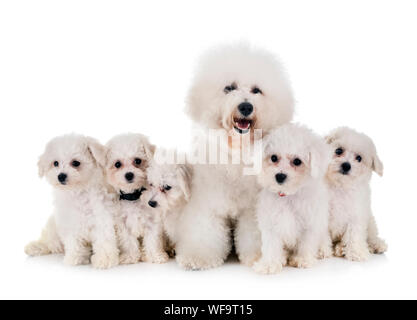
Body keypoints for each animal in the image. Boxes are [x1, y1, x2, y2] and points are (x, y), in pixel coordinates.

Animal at [24, 134, 118, 268]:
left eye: (75, 163)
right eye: (55, 163)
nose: (61, 176)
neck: (78, 192)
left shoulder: (102, 218)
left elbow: (103, 240)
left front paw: (104, 260)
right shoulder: (70, 222)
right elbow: (73, 241)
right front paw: (75, 258)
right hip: (53, 225)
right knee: (50, 241)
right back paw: (36, 247)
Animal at [102, 134, 167, 264]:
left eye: (137, 161)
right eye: (117, 164)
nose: (129, 175)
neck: (133, 196)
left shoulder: (153, 221)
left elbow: (152, 240)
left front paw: (155, 256)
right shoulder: (123, 223)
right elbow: (128, 241)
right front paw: (130, 256)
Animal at [174, 44, 294, 270]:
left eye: (256, 90)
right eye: (229, 88)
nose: (246, 107)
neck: (236, 153)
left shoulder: (253, 207)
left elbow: (254, 234)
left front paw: (258, 256)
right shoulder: (207, 202)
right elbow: (204, 230)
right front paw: (198, 256)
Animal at [250, 124, 332, 274]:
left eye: (297, 161)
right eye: (274, 158)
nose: (280, 176)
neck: (288, 196)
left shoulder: (310, 223)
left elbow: (307, 243)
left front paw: (303, 259)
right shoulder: (271, 223)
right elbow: (271, 245)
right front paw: (269, 264)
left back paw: (323, 250)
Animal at [324, 126, 386, 262]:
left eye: (359, 158)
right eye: (338, 150)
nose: (346, 165)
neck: (340, 186)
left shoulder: (357, 214)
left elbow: (354, 234)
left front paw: (356, 252)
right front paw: (322, 251)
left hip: (370, 222)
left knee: (372, 236)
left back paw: (376, 245)